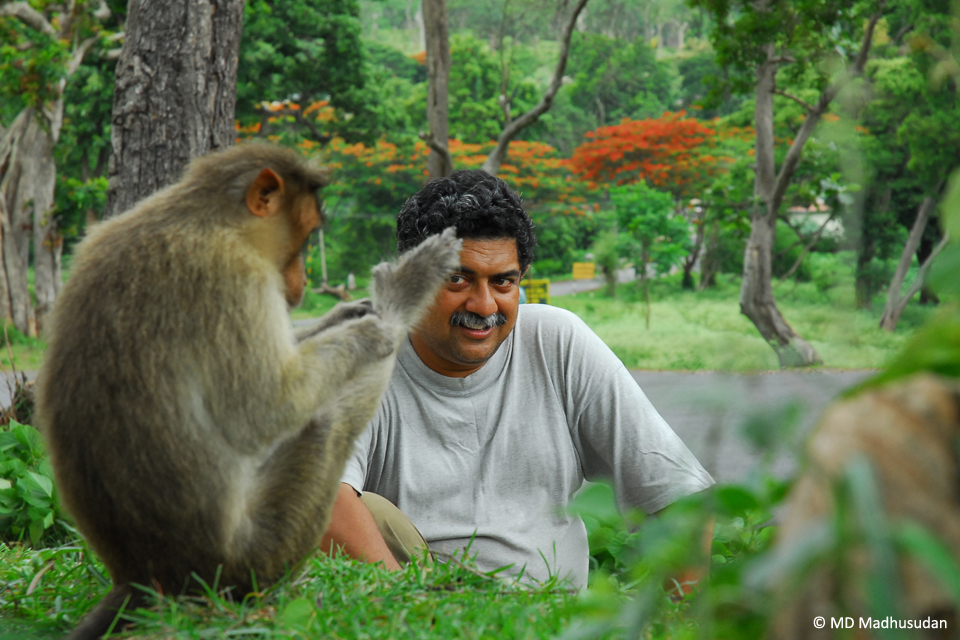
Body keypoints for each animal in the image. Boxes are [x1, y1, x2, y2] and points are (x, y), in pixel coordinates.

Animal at [35, 143, 462, 640]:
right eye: (304, 235)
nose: (299, 282)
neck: (201, 217)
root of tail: (137, 576)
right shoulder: (233, 275)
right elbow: (265, 409)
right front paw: (389, 308)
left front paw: (351, 311)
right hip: (250, 561)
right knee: (327, 419)